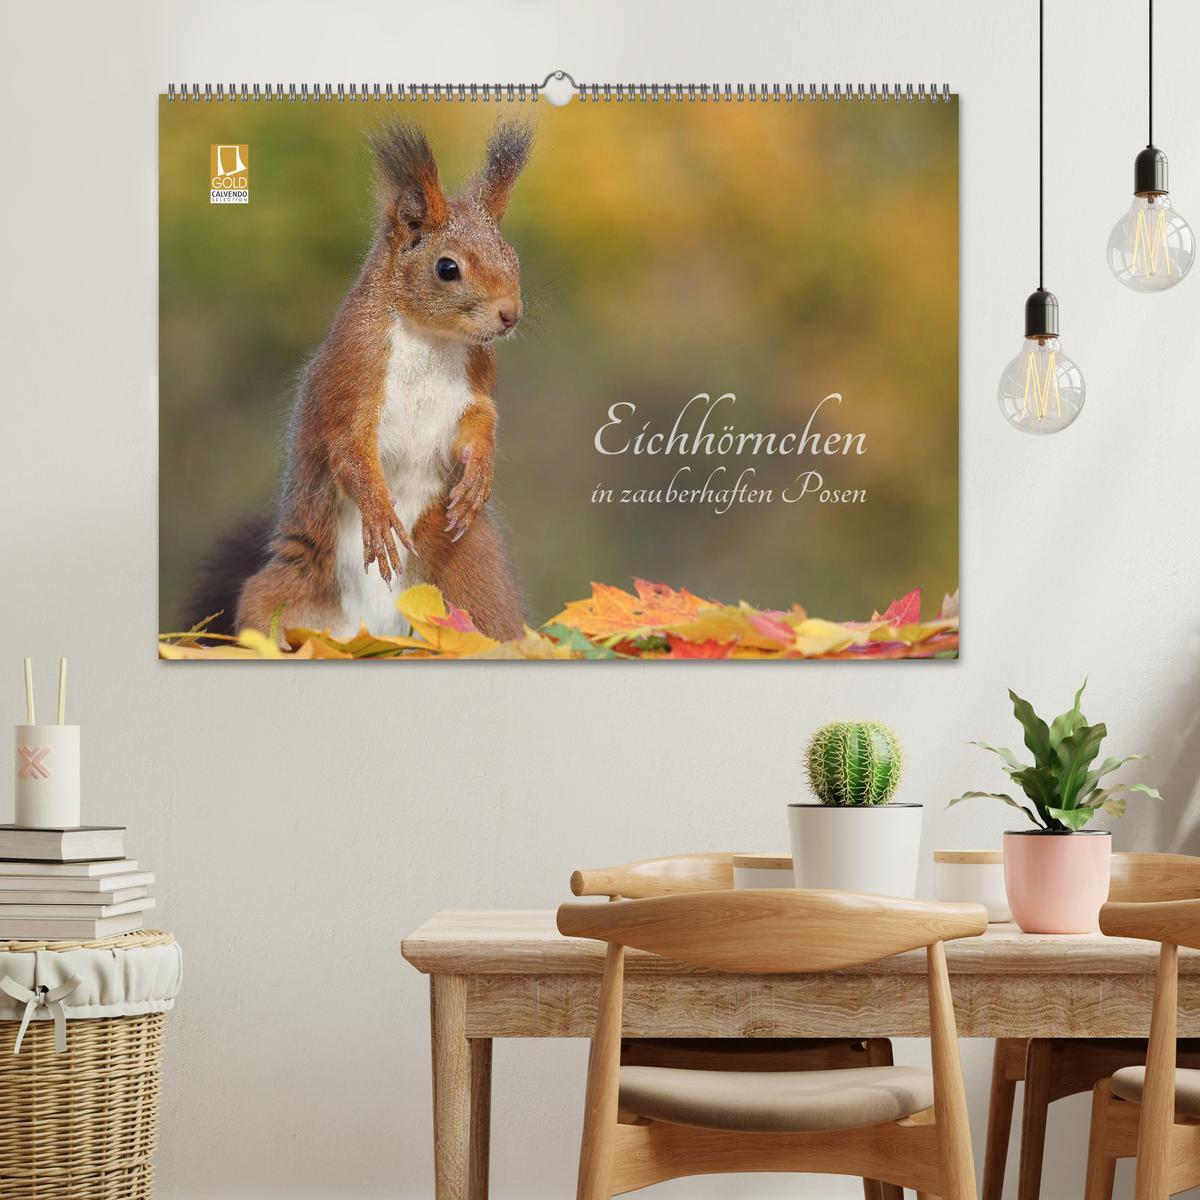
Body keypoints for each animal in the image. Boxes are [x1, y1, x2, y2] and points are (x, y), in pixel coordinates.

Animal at [199, 120, 532, 644]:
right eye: (447, 268)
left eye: (513, 257)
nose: (510, 315)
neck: (431, 339)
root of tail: (374, 632)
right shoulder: (351, 375)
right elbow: (349, 448)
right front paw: (377, 511)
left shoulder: (476, 385)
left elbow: (481, 421)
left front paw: (479, 473)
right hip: (286, 590)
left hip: (474, 582)